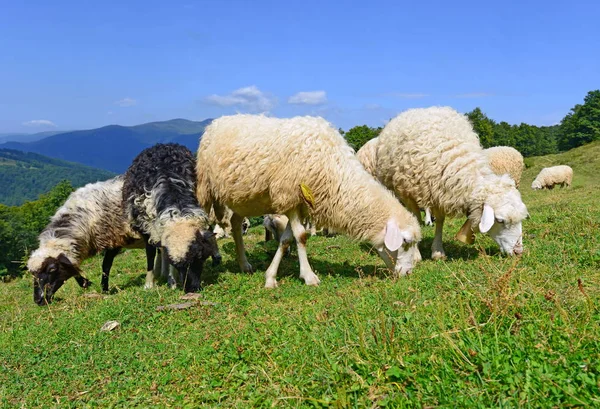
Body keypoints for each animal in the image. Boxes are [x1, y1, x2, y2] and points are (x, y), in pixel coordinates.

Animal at [123, 142, 221, 292]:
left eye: (199, 256)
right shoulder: (146, 228)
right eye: (176, 263)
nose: (192, 288)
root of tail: (160, 145)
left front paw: (171, 280)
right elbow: (151, 254)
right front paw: (149, 284)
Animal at [197, 113, 422, 288]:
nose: (408, 273)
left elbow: (287, 239)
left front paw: (270, 277)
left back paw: (244, 264)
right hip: (205, 189)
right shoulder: (290, 197)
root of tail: (216, 122)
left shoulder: (298, 206)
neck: (336, 175)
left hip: (243, 200)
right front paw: (309, 276)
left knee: (235, 223)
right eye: (405, 242)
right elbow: (301, 237)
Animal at [378, 105, 528, 258]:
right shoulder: (408, 193)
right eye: (500, 220)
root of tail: (422, 109)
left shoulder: (439, 192)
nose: (518, 252)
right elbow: (415, 219)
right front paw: (416, 253)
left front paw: (438, 251)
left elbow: (440, 221)